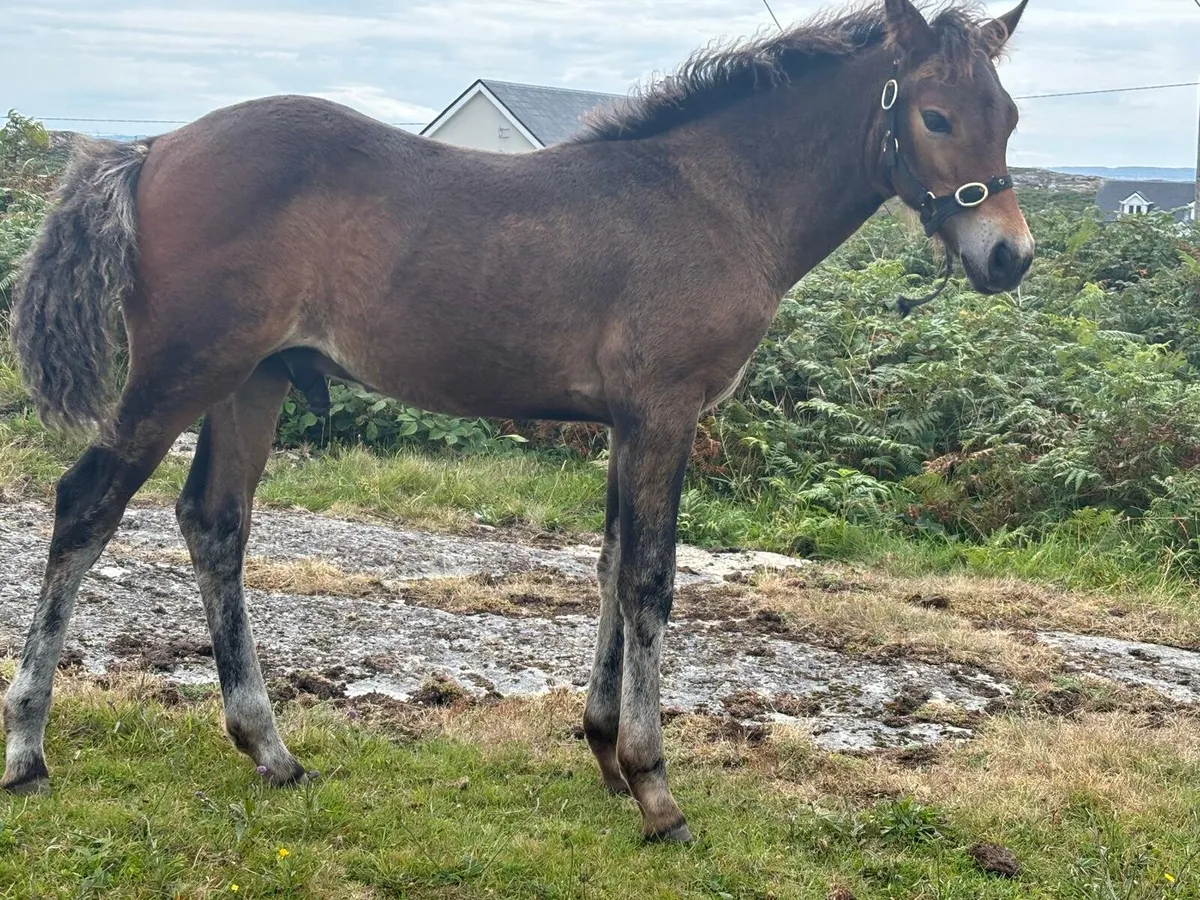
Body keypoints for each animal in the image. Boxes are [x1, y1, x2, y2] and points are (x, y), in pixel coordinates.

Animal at [3, 0, 1033, 841]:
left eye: (1011, 116)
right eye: (935, 116)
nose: (1009, 257)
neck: (713, 197)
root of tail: (153, 147)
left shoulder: (624, 423)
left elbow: (613, 566)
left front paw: (605, 750)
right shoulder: (664, 412)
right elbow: (652, 580)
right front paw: (656, 790)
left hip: (252, 381)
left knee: (214, 523)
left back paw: (271, 750)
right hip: (184, 372)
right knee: (86, 505)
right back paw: (28, 752)